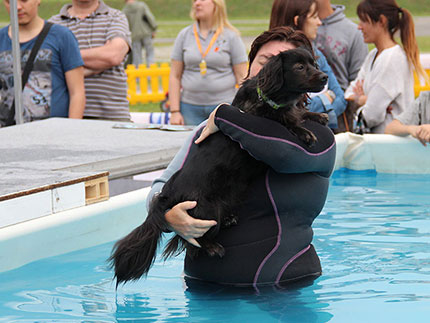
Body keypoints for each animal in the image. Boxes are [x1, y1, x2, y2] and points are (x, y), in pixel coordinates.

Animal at [109, 47, 328, 286]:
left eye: (313, 63)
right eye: (299, 67)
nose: (325, 77)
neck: (270, 98)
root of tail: (167, 196)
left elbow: (295, 112)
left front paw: (316, 115)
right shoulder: (265, 118)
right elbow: (284, 120)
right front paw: (304, 131)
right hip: (207, 209)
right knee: (191, 241)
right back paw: (213, 247)